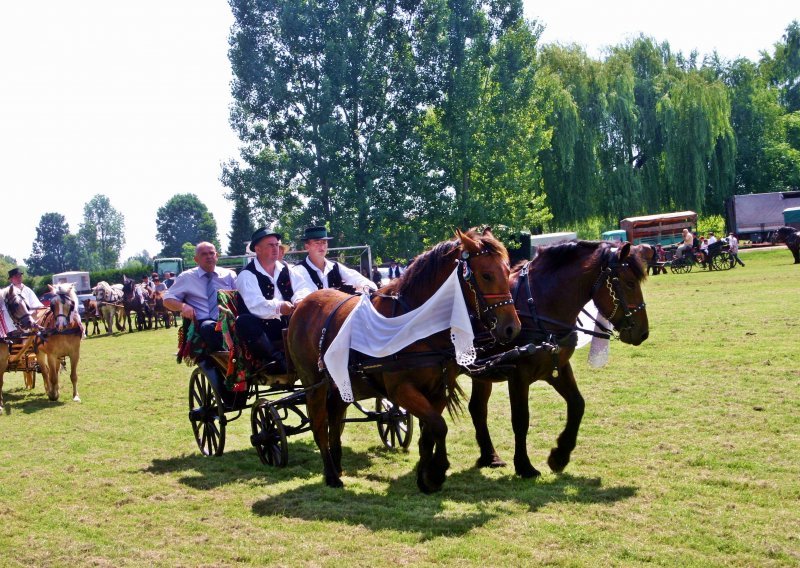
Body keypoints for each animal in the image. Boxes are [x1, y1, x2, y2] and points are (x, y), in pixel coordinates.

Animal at [290, 227, 520, 492]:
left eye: (508, 270)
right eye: (486, 275)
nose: (511, 328)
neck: (415, 323)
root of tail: (303, 305)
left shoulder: (438, 389)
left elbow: (429, 430)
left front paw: (425, 475)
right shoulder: (401, 391)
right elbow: (439, 426)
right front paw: (437, 471)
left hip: (341, 384)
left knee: (335, 418)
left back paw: (337, 465)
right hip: (313, 384)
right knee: (319, 424)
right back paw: (331, 474)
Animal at [468, 241, 648, 480]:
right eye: (629, 283)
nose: (643, 333)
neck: (537, 306)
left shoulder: (556, 368)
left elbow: (577, 404)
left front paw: (559, 456)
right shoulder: (518, 375)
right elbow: (520, 419)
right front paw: (524, 466)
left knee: (477, 408)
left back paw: (490, 457)